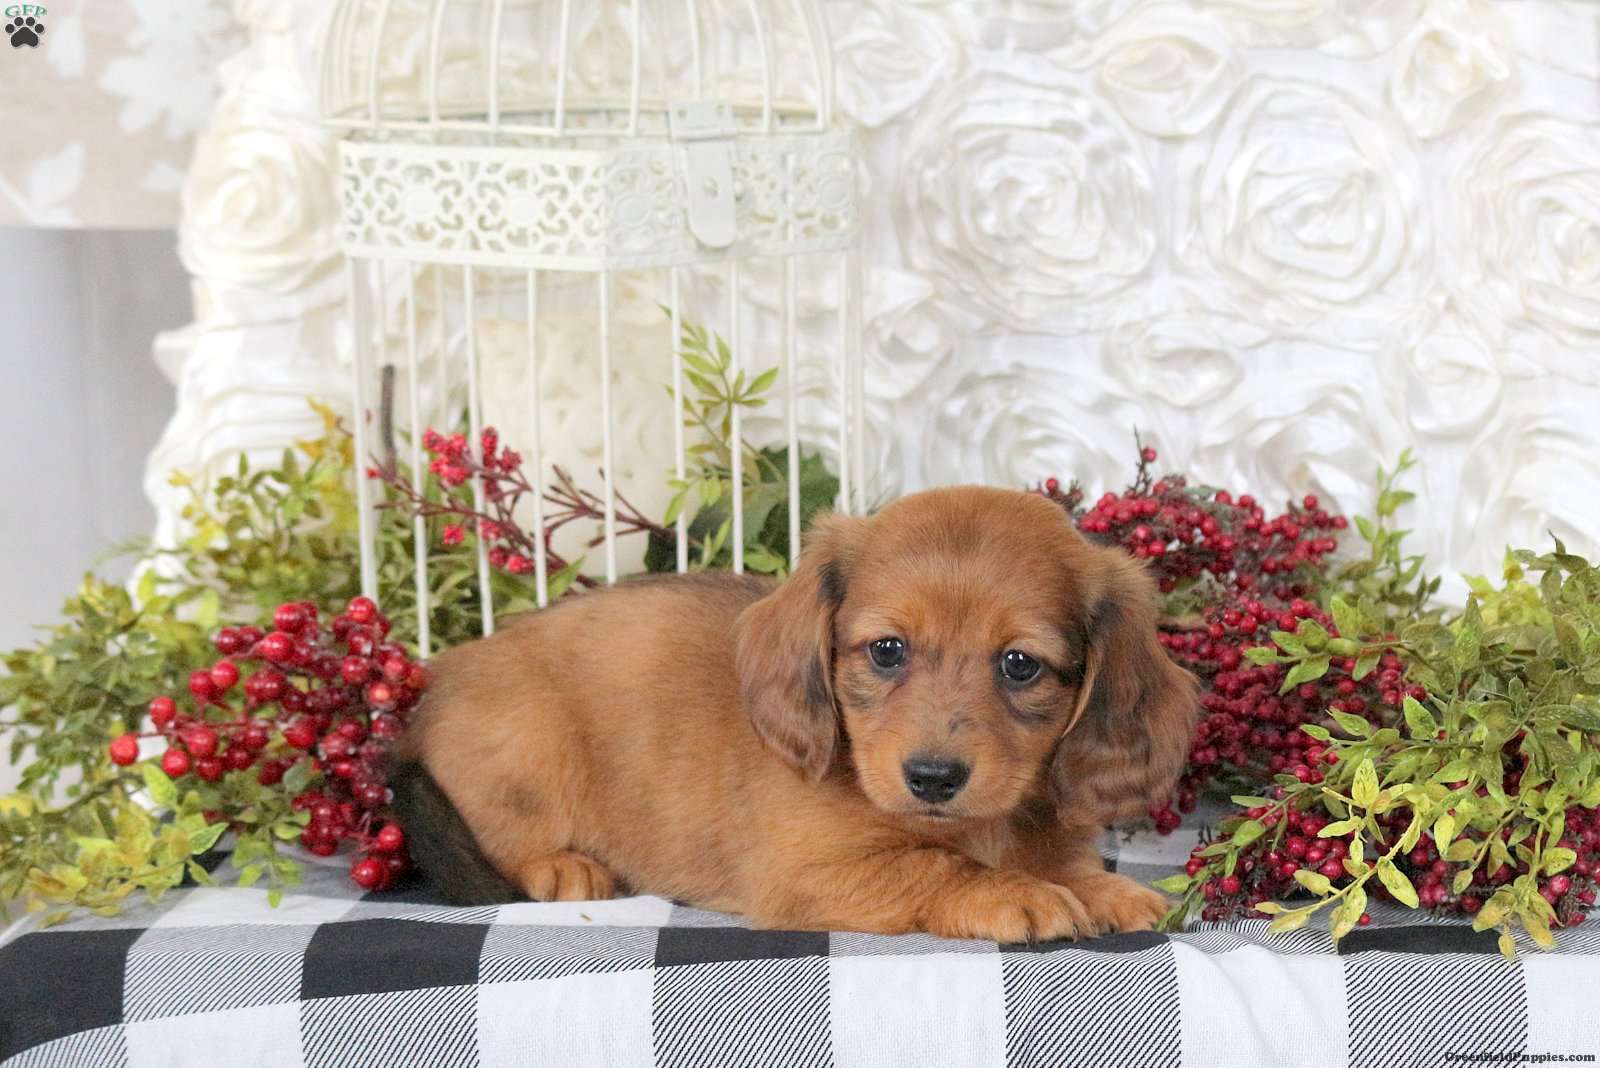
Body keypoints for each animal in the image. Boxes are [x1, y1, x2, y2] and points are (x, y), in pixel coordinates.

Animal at [390, 486, 1199, 941]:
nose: (933, 778)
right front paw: (1015, 893)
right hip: (531, 746)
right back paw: (560, 866)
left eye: (1020, 664)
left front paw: (1105, 888)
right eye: (887, 651)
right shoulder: (806, 871)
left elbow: (1065, 865)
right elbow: (934, 865)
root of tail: (433, 683)